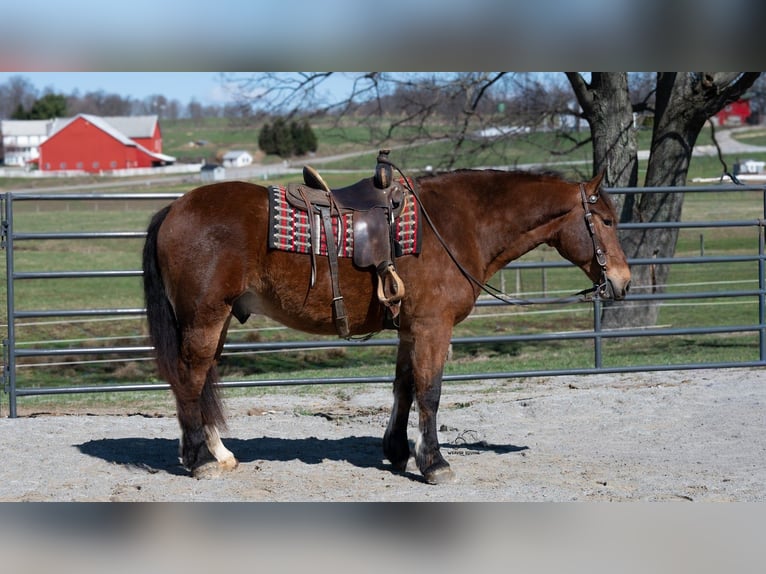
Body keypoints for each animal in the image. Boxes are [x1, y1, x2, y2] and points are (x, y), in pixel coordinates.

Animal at [142, 167, 631, 484]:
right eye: (606, 220)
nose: (623, 282)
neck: (457, 225)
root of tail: (173, 209)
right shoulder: (434, 327)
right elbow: (430, 393)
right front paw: (435, 463)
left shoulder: (411, 328)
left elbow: (404, 387)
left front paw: (397, 452)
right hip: (205, 318)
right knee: (190, 378)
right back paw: (199, 460)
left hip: (218, 319)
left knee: (204, 378)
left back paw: (220, 453)